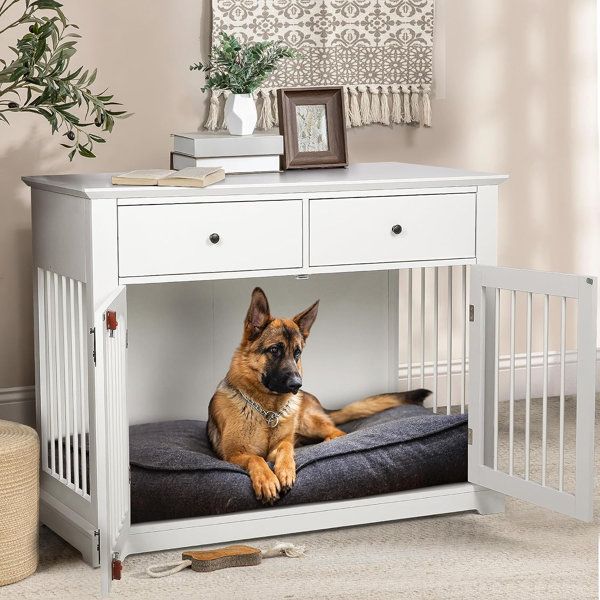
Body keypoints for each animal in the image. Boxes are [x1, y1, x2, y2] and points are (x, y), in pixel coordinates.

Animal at [207, 288, 432, 504]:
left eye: (297, 353)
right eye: (274, 350)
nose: (297, 385)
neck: (268, 411)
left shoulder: (282, 444)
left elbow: (285, 448)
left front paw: (285, 471)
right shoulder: (233, 455)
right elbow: (256, 459)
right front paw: (267, 480)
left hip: (307, 421)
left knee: (338, 432)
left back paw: (327, 441)